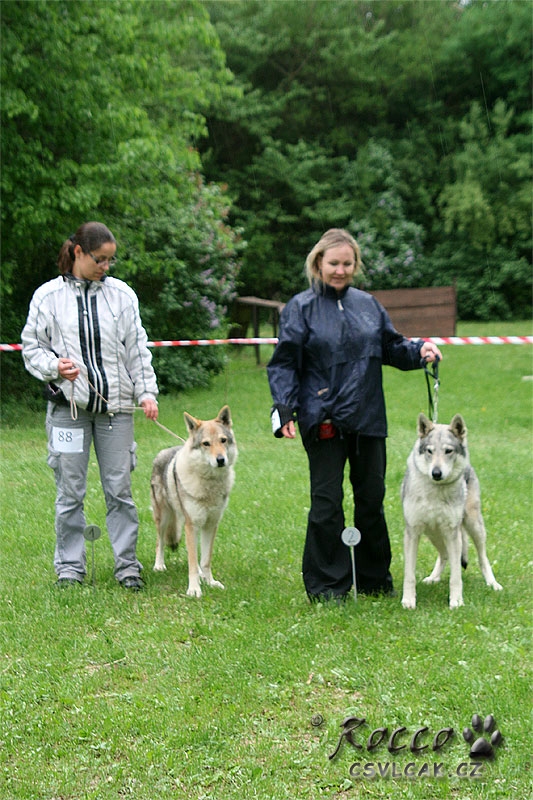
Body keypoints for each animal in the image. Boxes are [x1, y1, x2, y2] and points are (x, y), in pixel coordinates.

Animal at [152, 410, 239, 596]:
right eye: (206, 444)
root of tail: (165, 450)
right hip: (164, 518)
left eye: (223, 440)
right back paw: (159, 565)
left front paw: (210, 582)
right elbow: (191, 562)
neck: (210, 484)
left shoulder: (211, 524)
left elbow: (205, 560)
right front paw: (194, 589)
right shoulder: (191, 525)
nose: (220, 460)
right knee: (160, 542)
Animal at [402, 416, 500, 608]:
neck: (435, 490)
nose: (436, 473)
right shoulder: (413, 533)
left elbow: (456, 577)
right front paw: (408, 601)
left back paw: (492, 584)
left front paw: (456, 602)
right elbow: (409, 575)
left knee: (482, 558)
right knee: (444, 555)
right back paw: (433, 578)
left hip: (473, 526)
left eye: (448, 451)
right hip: (433, 533)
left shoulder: (452, 533)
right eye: (430, 451)